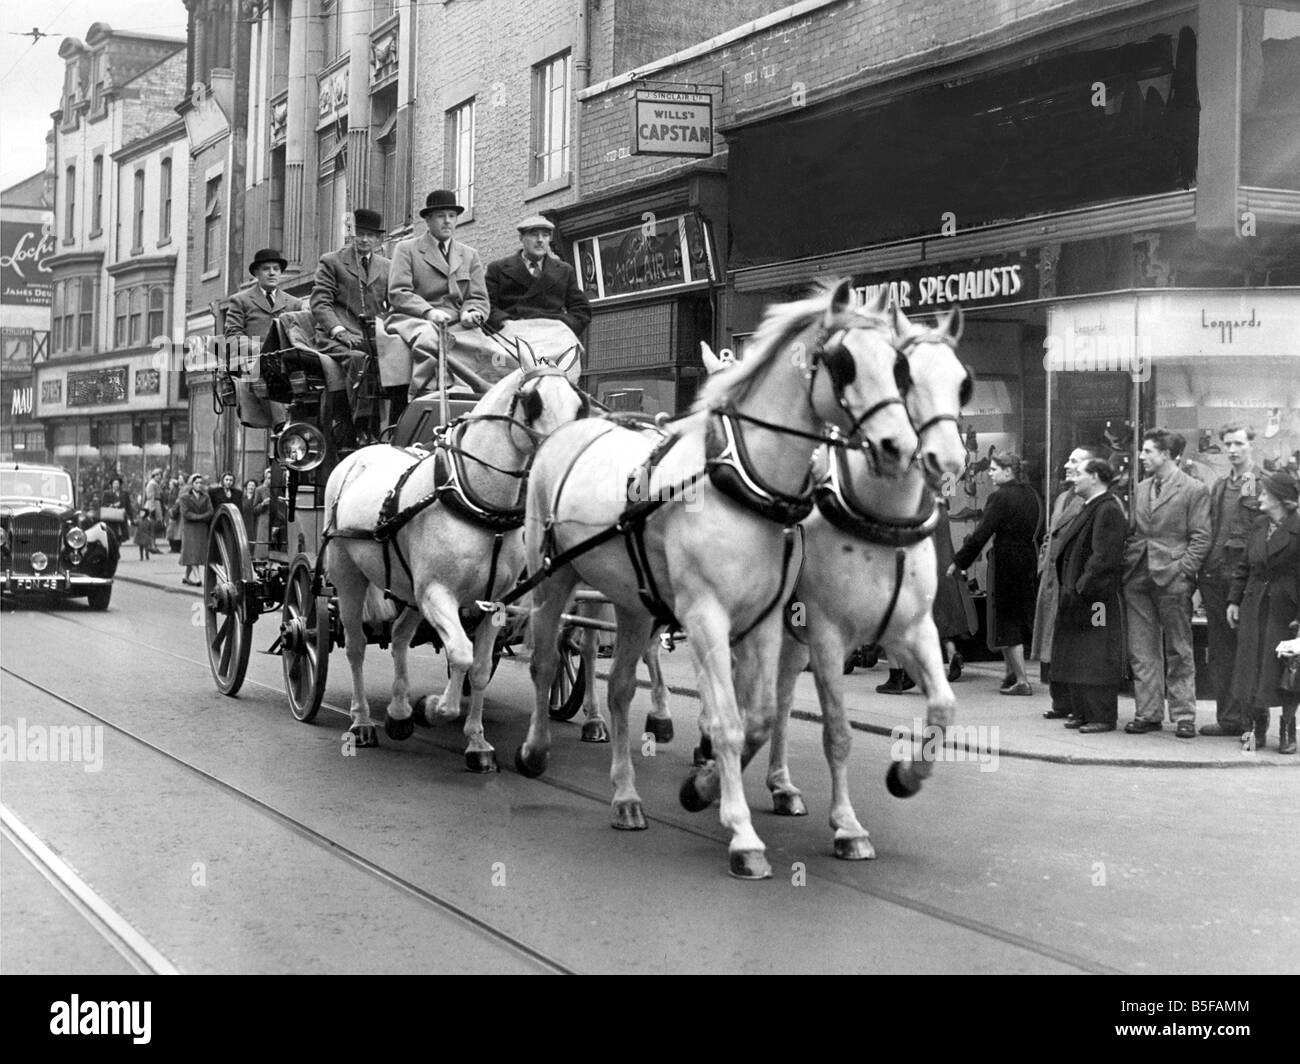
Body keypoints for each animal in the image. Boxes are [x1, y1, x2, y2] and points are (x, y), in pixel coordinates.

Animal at [322, 351, 587, 770]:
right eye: (532, 402)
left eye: (580, 404)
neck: (476, 501)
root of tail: (360, 455)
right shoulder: (437, 594)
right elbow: (460, 654)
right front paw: (432, 709)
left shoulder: (494, 603)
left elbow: (478, 669)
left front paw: (477, 743)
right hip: (348, 576)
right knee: (355, 645)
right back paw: (362, 721)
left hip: (408, 589)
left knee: (399, 637)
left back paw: (398, 713)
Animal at [512, 278, 920, 874]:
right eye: (842, 363)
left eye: (898, 365)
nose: (900, 446)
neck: (743, 480)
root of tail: (563, 435)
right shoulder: (704, 613)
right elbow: (728, 717)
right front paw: (742, 833)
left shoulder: (765, 620)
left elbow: (761, 714)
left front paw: (705, 786)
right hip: (553, 580)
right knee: (547, 660)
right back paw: (536, 747)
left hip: (633, 602)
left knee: (619, 689)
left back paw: (627, 794)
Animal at [759, 304, 977, 853]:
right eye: (905, 375)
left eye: (963, 383)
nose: (948, 459)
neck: (884, 525)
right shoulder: (829, 636)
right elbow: (838, 731)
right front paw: (847, 825)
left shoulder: (913, 630)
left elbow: (943, 708)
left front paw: (906, 776)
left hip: (791, 637)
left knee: (781, 698)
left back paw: (781, 785)